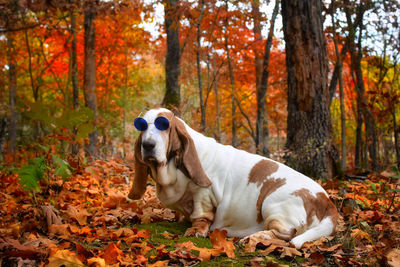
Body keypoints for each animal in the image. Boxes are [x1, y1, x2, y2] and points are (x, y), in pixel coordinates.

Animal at [128, 108, 338, 250]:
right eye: (142, 126)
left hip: (272, 205)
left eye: (164, 126)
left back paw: (254, 238)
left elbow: (201, 216)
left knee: (285, 235)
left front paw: (196, 230)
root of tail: (326, 200)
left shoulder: (203, 196)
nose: (148, 145)